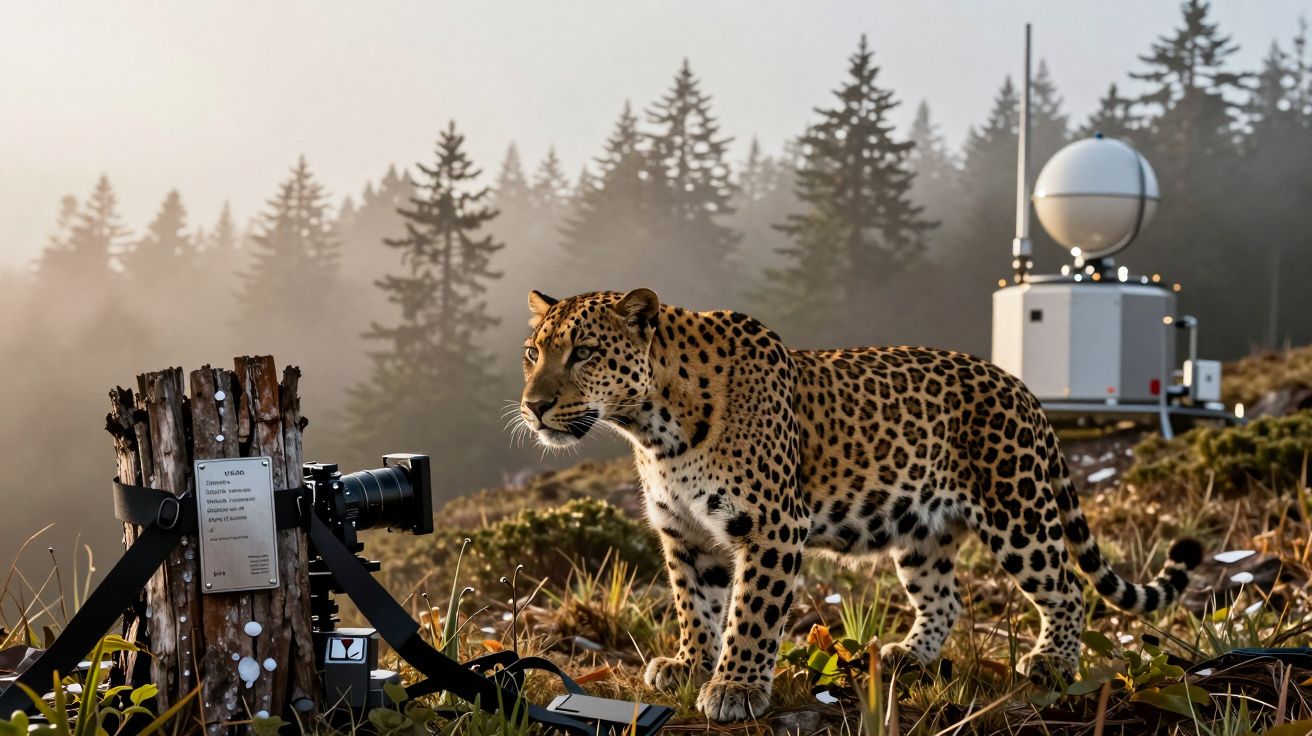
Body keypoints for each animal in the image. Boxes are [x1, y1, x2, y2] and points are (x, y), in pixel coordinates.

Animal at [516, 288, 1201, 722]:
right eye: (533, 353)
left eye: (584, 353)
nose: (533, 405)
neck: (654, 430)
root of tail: (1022, 387)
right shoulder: (684, 535)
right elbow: (696, 606)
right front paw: (690, 665)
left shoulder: (772, 527)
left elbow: (751, 615)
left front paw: (734, 688)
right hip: (922, 532)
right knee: (945, 596)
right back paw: (908, 656)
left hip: (1018, 509)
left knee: (1065, 585)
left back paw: (1052, 662)